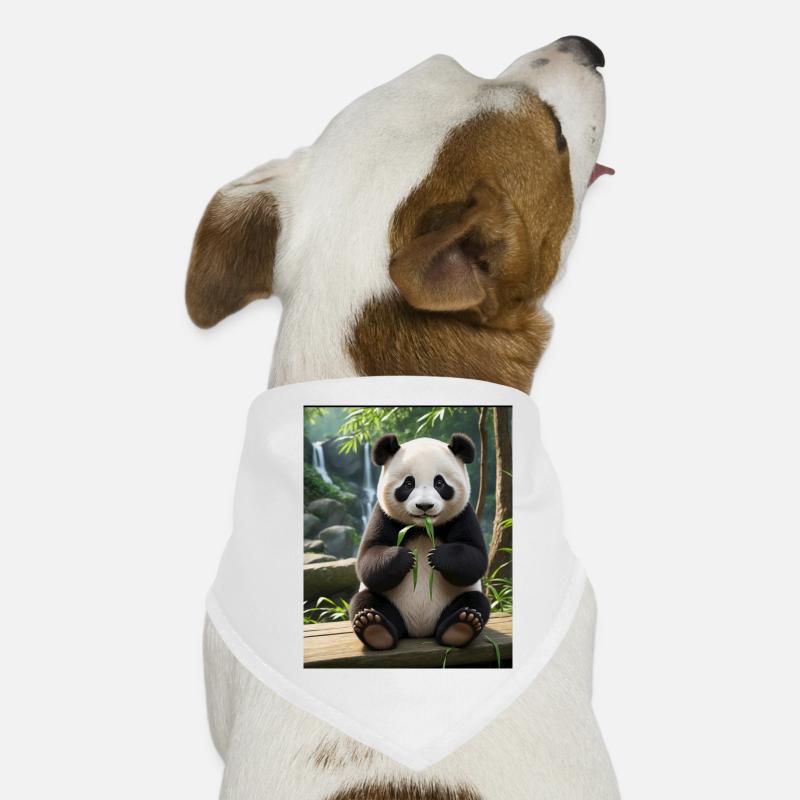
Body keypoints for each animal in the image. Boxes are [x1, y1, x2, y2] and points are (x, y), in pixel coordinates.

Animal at [350, 432, 490, 651]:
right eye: (408, 484)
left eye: (440, 483)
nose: (425, 506)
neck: (423, 528)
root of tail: (419, 631)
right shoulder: (382, 515)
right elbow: (368, 559)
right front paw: (406, 557)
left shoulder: (463, 515)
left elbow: (475, 558)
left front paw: (437, 556)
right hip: (387, 602)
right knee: (365, 600)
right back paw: (374, 628)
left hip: (458, 598)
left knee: (476, 602)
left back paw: (461, 627)